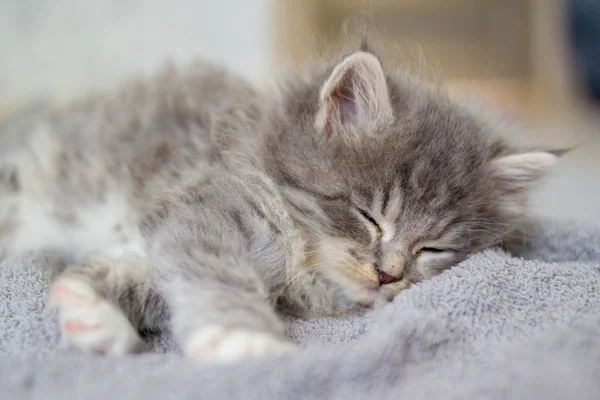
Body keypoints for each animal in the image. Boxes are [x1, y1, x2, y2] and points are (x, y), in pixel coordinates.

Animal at [0, 47, 556, 362]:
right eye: (368, 217)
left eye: (433, 250)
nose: (388, 275)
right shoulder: (206, 212)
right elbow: (215, 277)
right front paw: (243, 339)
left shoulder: (171, 231)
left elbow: (143, 279)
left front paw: (90, 308)